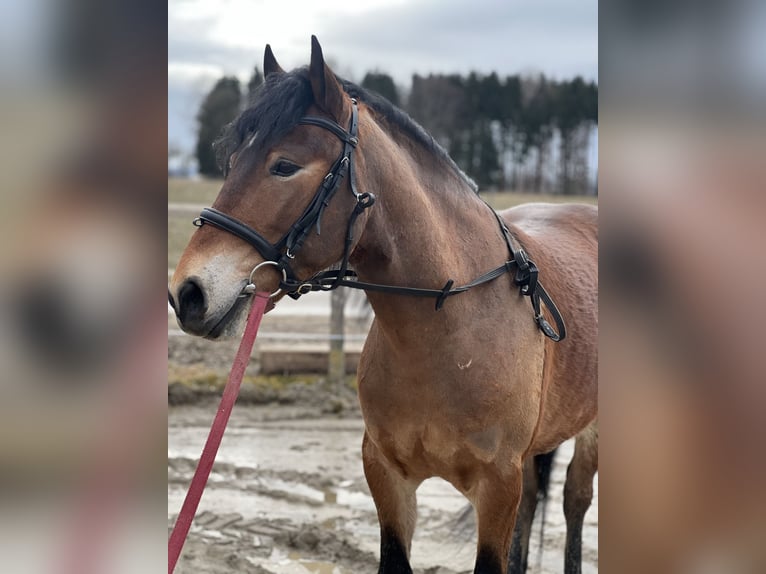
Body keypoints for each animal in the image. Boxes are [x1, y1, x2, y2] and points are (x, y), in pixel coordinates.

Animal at [168, 37, 598, 574]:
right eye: (231, 163)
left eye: (284, 165)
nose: (188, 293)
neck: (449, 331)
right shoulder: (388, 477)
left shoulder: (498, 485)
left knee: (574, 501)